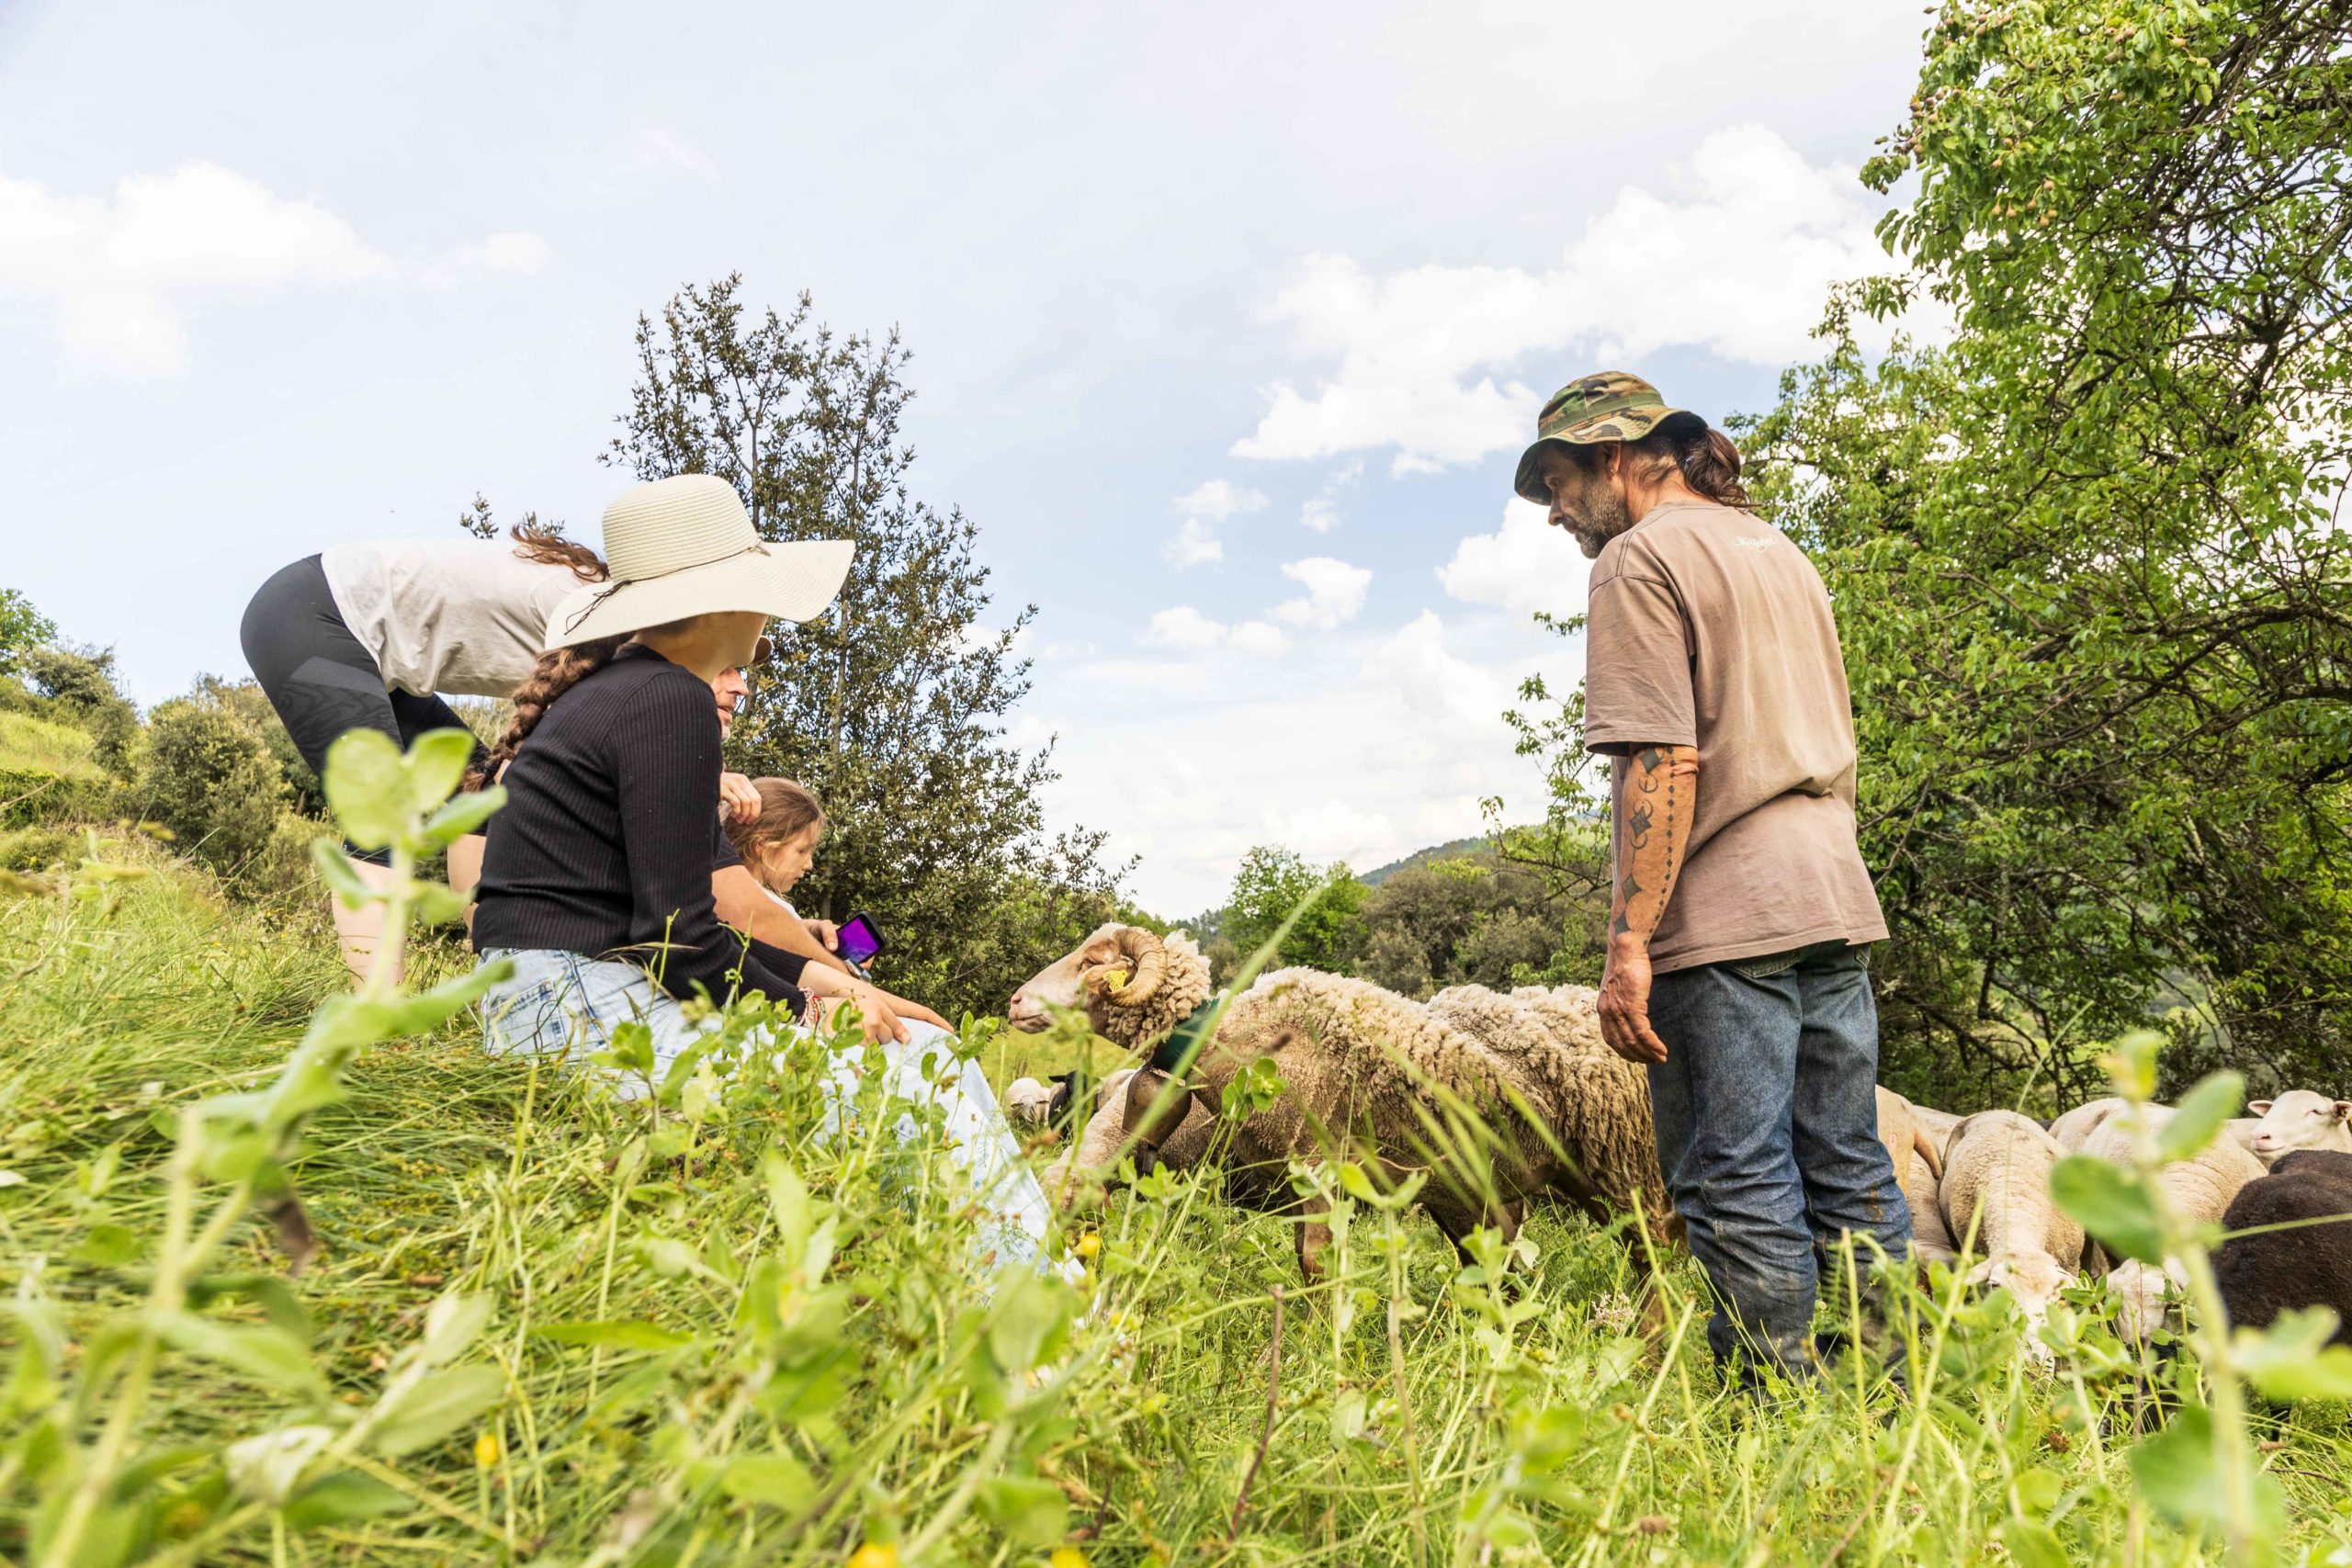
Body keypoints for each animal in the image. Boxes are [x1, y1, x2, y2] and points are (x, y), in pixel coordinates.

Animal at [1011, 926, 1674, 1279]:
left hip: (1625, 1172)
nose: (1015, 1001)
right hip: (1478, 1193)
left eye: (1092, 963)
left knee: (1654, 1267)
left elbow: (1314, 1264)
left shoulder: (1322, 1165)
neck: (1241, 1036)